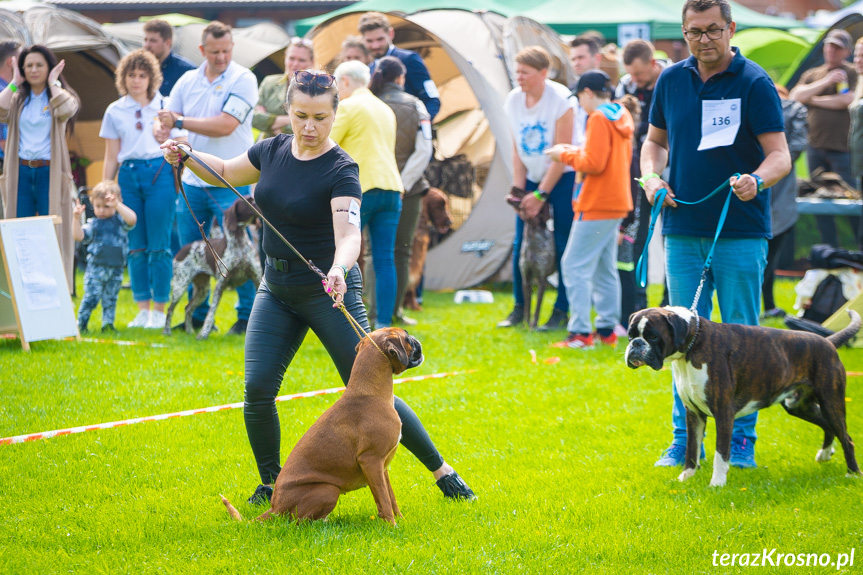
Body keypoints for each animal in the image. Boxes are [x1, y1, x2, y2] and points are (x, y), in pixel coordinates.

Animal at [219, 326, 422, 524]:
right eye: (407, 337)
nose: (416, 340)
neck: (369, 393)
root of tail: (275, 508)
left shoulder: (382, 466)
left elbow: (390, 498)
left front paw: (399, 520)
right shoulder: (371, 460)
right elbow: (384, 500)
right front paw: (392, 525)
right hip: (328, 490)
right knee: (298, 523)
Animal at [624, 306, 860, 486]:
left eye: (652, 336)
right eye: (630, 335)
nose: (635, 344)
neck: (691, 345)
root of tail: (828, 341)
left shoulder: (723, 414)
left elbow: (721, 454)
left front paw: (717, 484)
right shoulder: (694, 414)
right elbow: (691, 449)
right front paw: (686, 477)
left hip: (831, 402)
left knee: (847, 438)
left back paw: (853, 474)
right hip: (799, 405)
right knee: (828, 426)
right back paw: (825, 454)